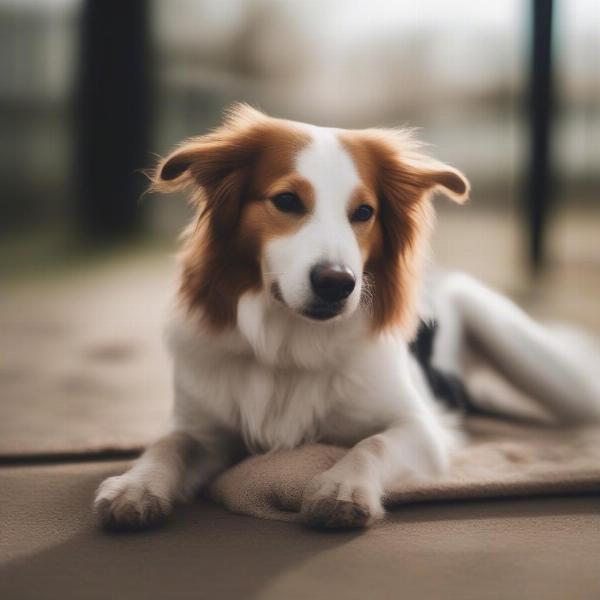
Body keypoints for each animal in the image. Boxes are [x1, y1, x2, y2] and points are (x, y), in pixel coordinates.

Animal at [92, 105, 600, 528]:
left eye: (364, 212)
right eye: (287, 202)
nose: (337, 284)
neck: (288, 342)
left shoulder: (423, 427)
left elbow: (371, 444)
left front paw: (342, 487)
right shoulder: (204, 427)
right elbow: (169, 444)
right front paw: (136, 485)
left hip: (533, 358)